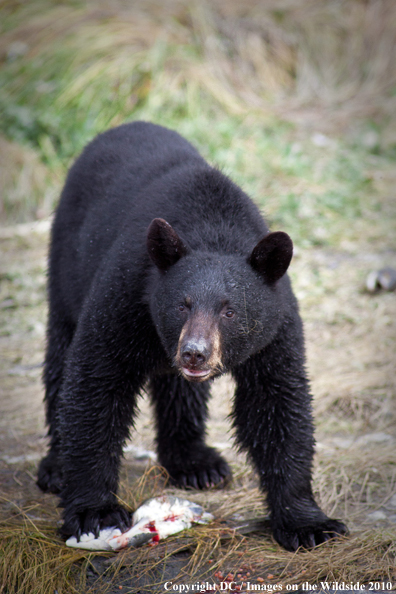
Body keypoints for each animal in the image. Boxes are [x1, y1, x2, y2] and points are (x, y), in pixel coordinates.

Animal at [37, 120, 346, 552]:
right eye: (182, 304)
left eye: (229, 310)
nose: (194, 353)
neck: (213, 229)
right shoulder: (126, 294)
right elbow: (96, 382)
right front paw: (94, 514)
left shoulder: (275, 328)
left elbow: (276, 404)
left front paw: (307, 523)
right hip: (66, 262)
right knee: (61, 353)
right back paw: (54, 467)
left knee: (181, 391)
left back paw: (197, 463)